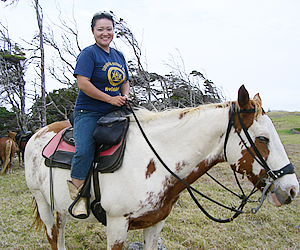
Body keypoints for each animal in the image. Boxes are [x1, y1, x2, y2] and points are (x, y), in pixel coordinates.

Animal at [24, 85, 298, 249]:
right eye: (262, 138)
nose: (292, 189)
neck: (154, 159)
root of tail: (38, 133)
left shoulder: (155, 222)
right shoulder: (117, 224)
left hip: (59, 204)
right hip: (42, 201)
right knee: (52, 236)